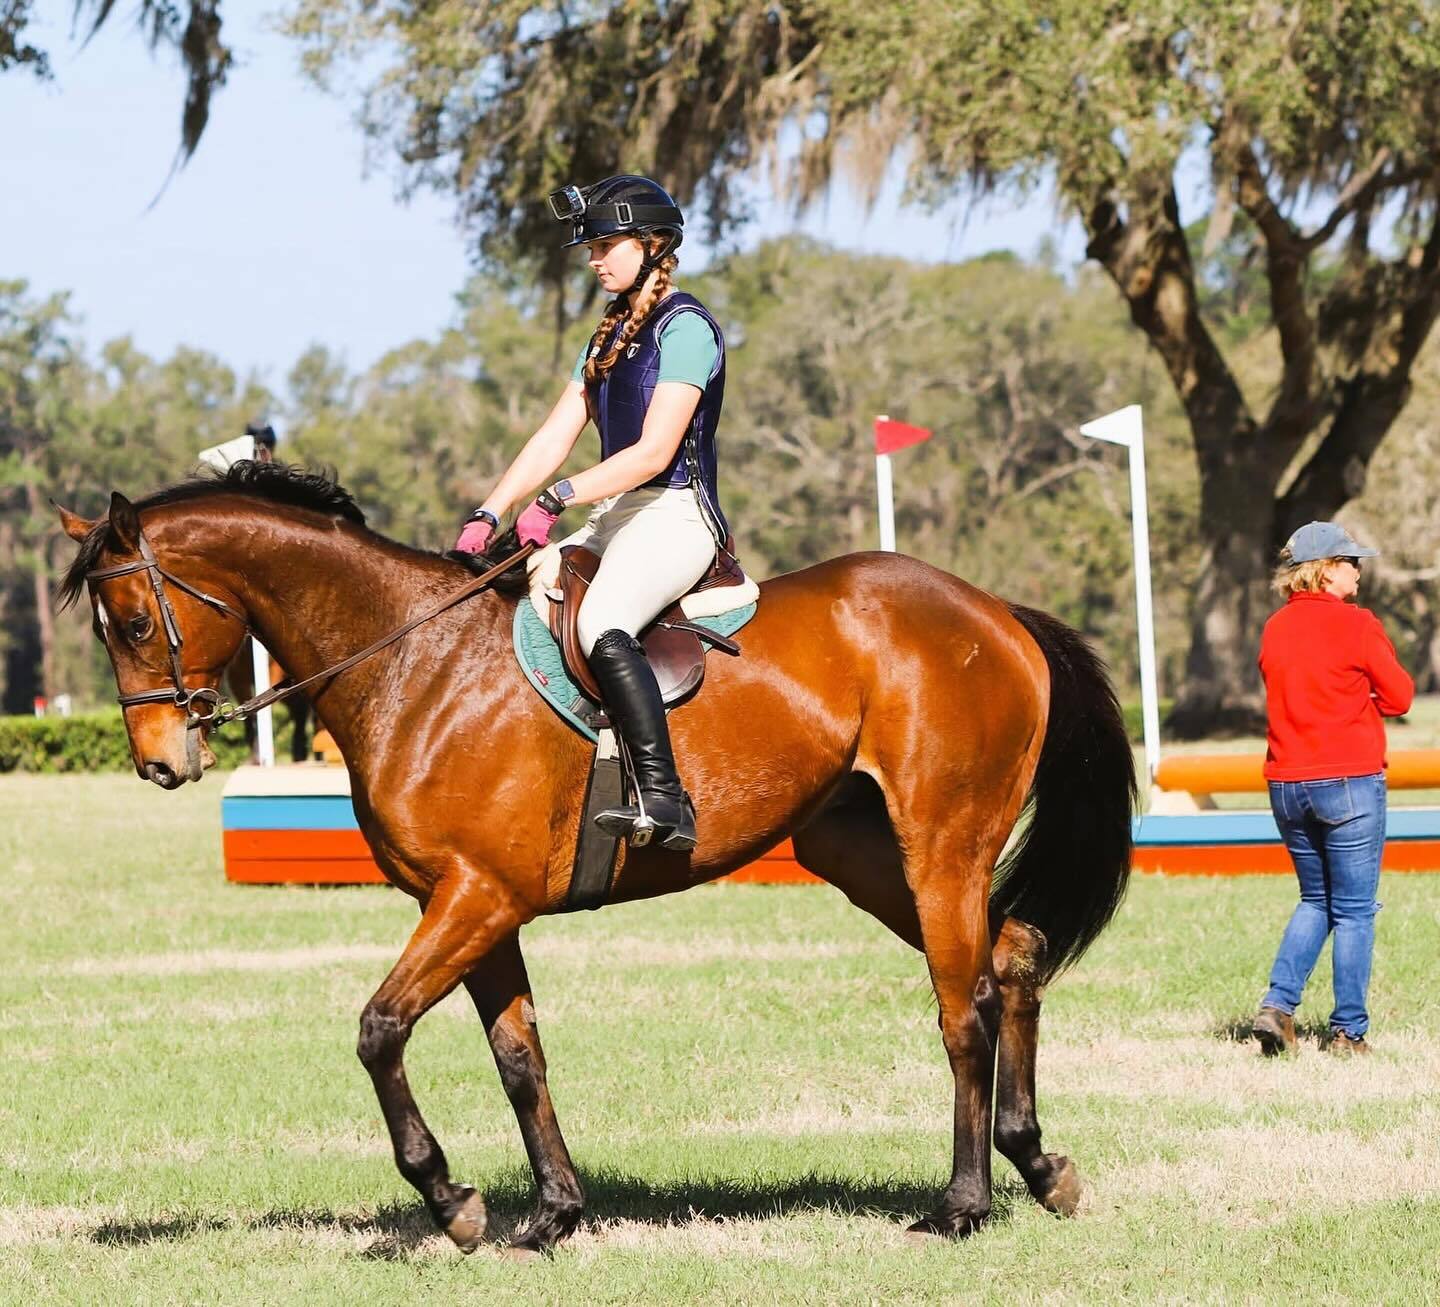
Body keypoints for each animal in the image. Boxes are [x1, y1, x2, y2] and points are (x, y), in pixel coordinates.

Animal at [57, 461, 1134, 1255]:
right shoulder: (477, 907)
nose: (161, 763)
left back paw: (962, 1203)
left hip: (940, 843)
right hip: (858, 848)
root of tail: (994, 609)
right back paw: (1040, 1166)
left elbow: (379, 1029)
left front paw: (451, 1200)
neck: (413, 661)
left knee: (966, 1004)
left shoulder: (474, 899)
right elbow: (518, 1056)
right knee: (1014, 953)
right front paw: (552, 1213)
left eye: (137, 621)